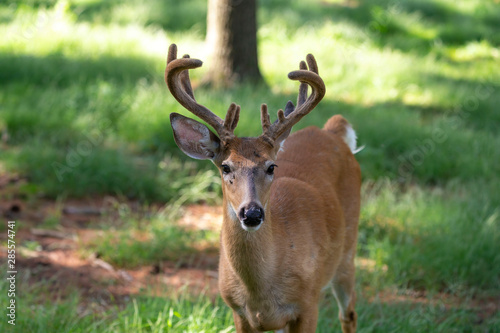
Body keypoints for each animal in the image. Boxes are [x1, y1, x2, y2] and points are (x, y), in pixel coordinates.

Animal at [166, 42, 362, 330]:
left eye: (271, 167)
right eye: (225, 167)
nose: (252, 213)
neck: (260, 290)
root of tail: (330, 131)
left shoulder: (308, 303)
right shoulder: (237, 311)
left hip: (347, 252)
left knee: (348, 313)